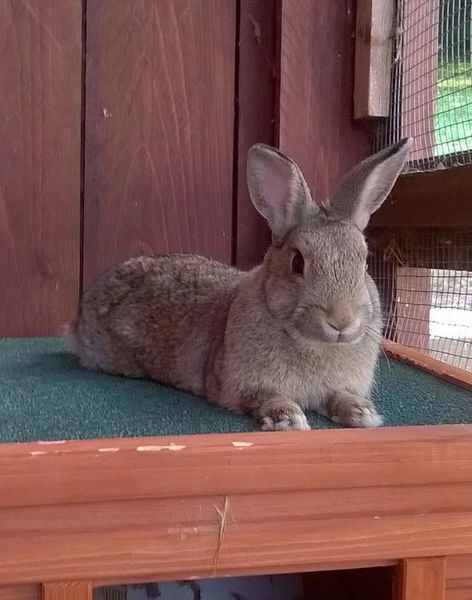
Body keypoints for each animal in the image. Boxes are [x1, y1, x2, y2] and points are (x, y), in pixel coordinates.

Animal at [66, 138, 411, 431]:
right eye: (297, 262)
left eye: (364, 262)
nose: (341, 322)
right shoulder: (242, 386)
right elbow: (265, 399)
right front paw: (288, 418)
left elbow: (341, 397)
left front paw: (362, 413)